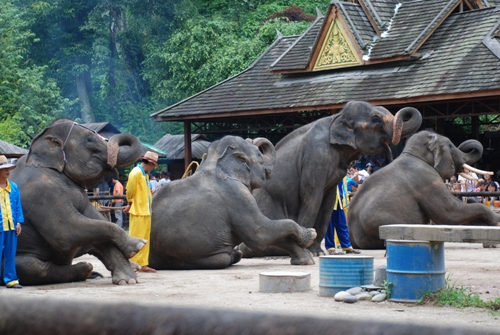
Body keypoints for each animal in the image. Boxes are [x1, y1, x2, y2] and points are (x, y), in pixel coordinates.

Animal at [9, 119, 146, 284]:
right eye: (90, 139)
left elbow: (97, 221)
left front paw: (127, 280)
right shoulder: (42, 194)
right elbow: (65, 232)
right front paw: (139, 244)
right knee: (32, 266)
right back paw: (86, 269)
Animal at [147, 135, 316, 270]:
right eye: (258, 155)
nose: (253, 139)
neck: (215, 159)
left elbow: (268, 234)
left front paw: (306, 260)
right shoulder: (237, 194)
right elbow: (259, 233)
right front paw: (310, 235)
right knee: (223, 258)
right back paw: (232, 255)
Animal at [238, 100, 422, 258]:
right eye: (375, 119)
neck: (337, 117)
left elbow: (328, 200)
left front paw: (317, 252)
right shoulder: (316, 155)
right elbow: (311, 196)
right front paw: (306, 250)